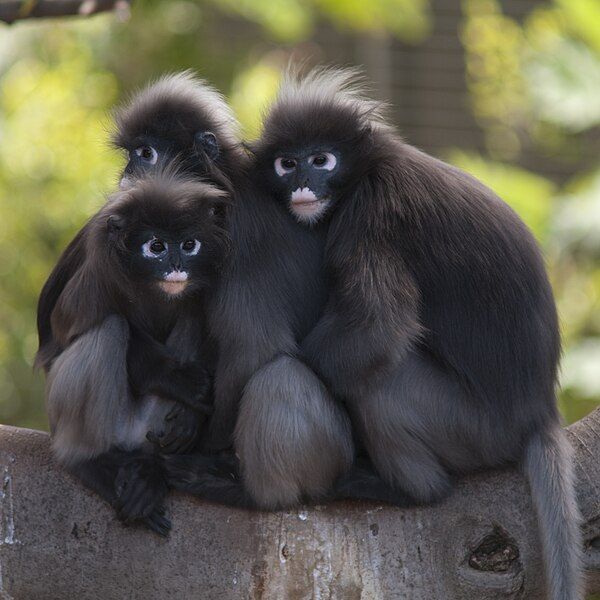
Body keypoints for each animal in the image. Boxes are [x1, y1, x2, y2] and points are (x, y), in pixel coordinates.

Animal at [45, 173, 229, 536]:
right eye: (156, 247)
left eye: (189, 245)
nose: (176, 266)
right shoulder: (97, 270)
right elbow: (63, 335)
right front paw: (177, 378)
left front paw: (191, 417)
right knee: (111, 328)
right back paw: (90, 461)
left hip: (150, 427)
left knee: (191, 313)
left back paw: (151, 471)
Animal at [168, 69, 580, 600]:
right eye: (287, 163)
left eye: (321, 159)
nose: (303, 183)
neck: (372, 167)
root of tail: (540, 411)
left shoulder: (372, 215)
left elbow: (376, 328)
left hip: (472, 428)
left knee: (377, 382)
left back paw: (406, 488)